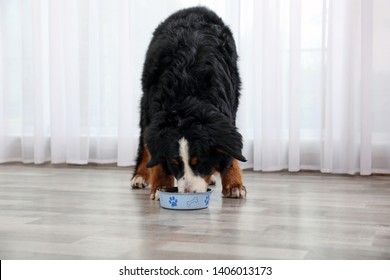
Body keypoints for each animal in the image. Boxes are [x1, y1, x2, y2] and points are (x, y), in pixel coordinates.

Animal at [131, 6, 247, 199]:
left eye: (200, 162)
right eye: (174, 163)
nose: (188, 193)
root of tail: (195, 8)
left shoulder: (229, 109)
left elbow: (230, 152)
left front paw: (233, 183)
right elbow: (157, 156)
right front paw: (161, 186)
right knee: (144, 144)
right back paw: (139, 175)